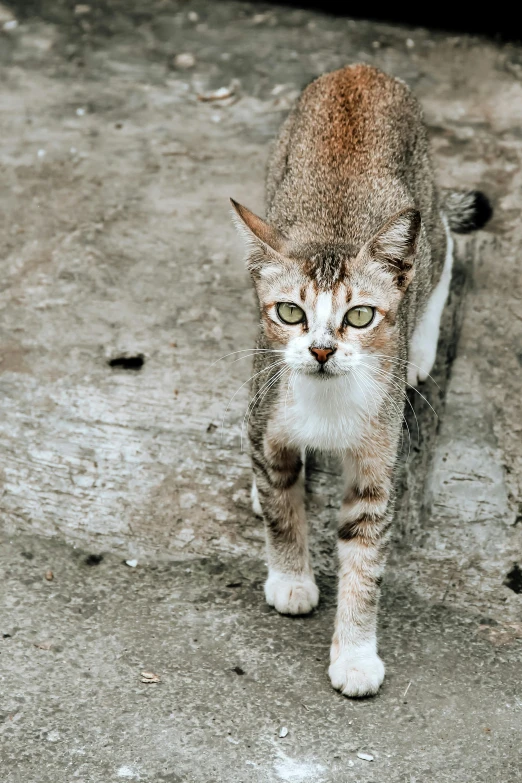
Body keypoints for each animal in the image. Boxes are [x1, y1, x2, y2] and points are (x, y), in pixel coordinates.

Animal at [230, 62, 490, 700]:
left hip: (420, 203)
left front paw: (354, 653)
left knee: (438, 238)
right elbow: (282, 507)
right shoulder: (268, 415)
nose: (322, 350)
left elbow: (365, 559)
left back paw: (421, 343)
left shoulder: (378, 461)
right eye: (290, 312)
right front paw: (291, 576)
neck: (326, 402)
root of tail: (359, 70)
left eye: (361, 316)